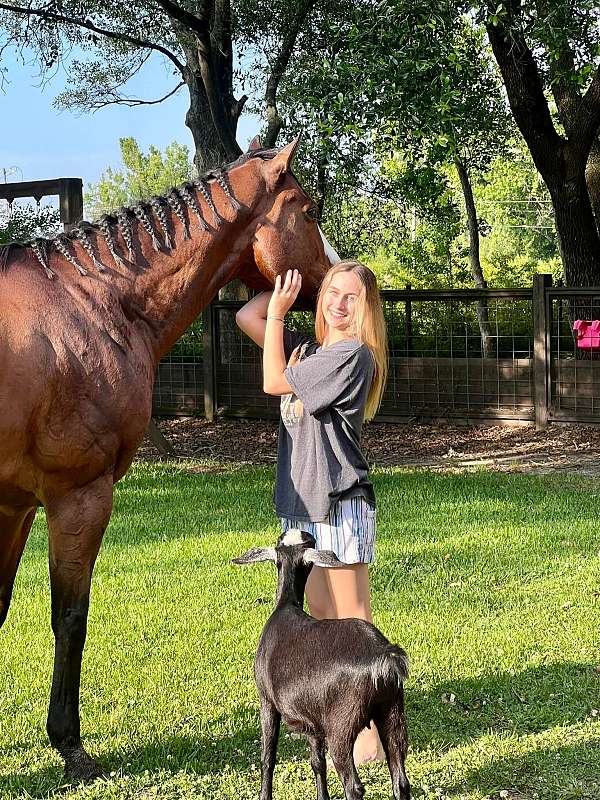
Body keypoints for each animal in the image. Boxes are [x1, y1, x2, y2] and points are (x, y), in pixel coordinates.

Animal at [0, 136, 330, 782]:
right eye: (309, 212)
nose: (337, 278)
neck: (94, 304)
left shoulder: (14, 506)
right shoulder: (79, 496)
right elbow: (69, 616)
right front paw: (69, 743)